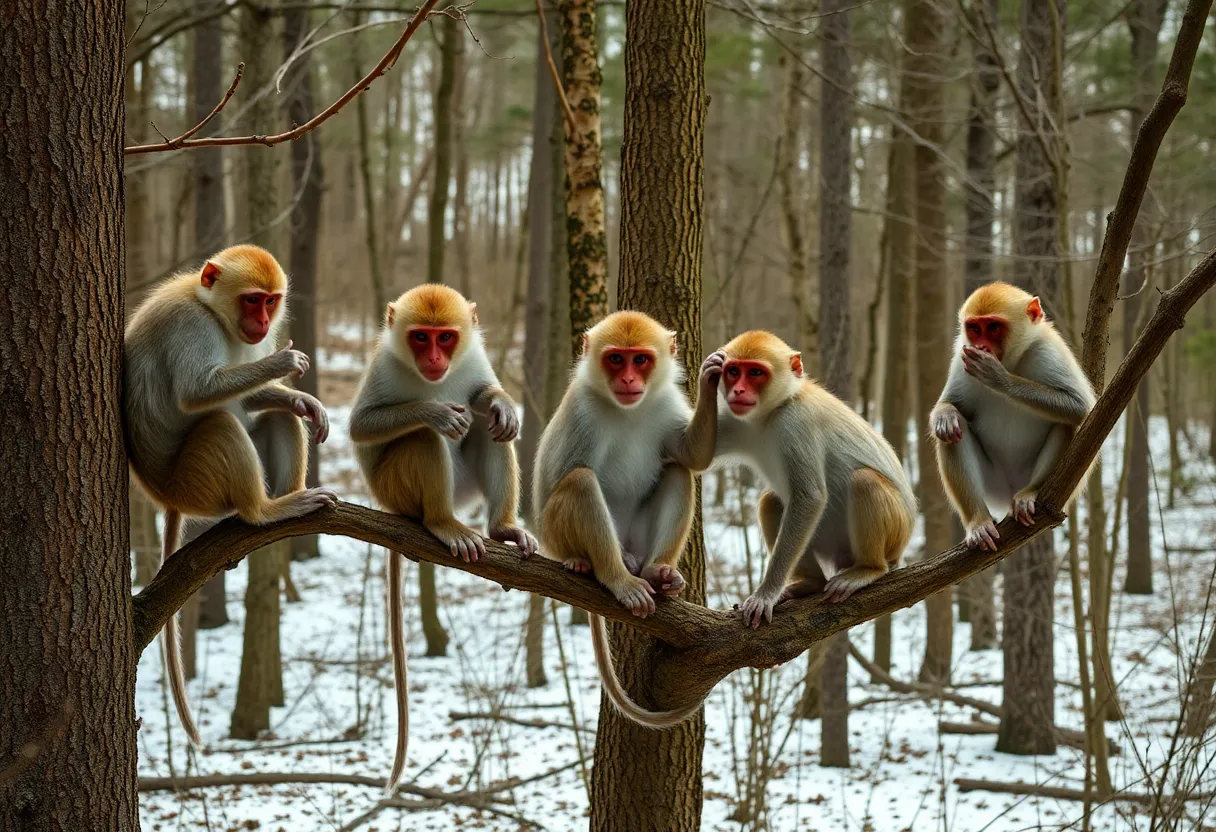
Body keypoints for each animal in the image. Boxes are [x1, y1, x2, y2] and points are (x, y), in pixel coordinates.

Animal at [124, 245, 338, 749]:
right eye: (252, 300)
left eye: (271, 301)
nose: (262, 321)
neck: (214, 312)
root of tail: (166, 496)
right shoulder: (191, 326)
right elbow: (196, 390)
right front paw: (282, 364)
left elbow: (265, 404)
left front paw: (300, 399)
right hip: (196, 483)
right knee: (220, 424)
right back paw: (264, 512)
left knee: (274, 420)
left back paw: (290, 498)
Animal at [350, 284, 535, 793]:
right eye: (420, 337)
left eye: (446, 337)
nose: (434, 358)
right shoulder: (383, 366)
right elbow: (361, 425)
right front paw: (433, 410)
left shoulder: (473, 356)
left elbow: (483, 398)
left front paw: (502, 400)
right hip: (396, 488)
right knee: (422, 441)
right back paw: (441, 521)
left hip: (465, 490)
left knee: (490, 432)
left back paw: (502, 527)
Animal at [535, 308, 719, 724]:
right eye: (617, 359)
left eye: (641, 360)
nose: (630, 380)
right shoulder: (582, 413)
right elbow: (558, 477)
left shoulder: (667, 403)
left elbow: (690, 455)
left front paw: (712, 380)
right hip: (562, 535)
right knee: (580, 482)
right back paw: (606, 571)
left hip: (637, 537)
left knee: (677, 472)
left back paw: (657, 572)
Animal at [710, 328, 914, 627]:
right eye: (733, 371)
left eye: (756, 373)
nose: (738, 390)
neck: (774, 410)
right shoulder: (738, 421)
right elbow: (686, 448)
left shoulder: (795, 425)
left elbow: (809, 499)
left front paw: (765, 595)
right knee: (771, 502)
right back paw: (812, 583)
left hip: (896, 534)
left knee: (864, 482)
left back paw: (869, 569)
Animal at [924, 282, 1099, 549]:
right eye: (975, 328)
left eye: (993, 327)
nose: (981, 346)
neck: (1012, 360)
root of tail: (1008, 495)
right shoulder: (960, 356)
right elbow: (951, 405)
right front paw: (944, 415)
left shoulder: (1048, 352)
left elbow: (1079, 407)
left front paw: (997, 377)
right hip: (993, 487)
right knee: (953, 433)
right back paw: (978, 521)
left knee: (1066, 425)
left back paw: (1031, 492)